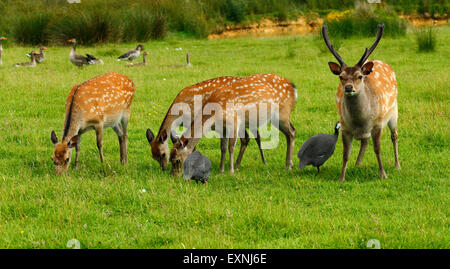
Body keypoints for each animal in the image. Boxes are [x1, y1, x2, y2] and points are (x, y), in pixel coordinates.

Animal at [168, 73, 296, 176]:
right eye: (170, 158)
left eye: (177, 160)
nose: (174, 175)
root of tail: (294, 88)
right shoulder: (222, 129)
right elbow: (223, 148)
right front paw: (221, 170)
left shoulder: (234, 122)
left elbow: (231, 147)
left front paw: (231, 171)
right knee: (290, 132)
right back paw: (288, 164)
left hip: (283, 113)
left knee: (292, 132)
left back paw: (288, 166)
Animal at [324, 24, 400, 181]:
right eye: (341, 76)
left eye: (359, 76)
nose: (348, 87)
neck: (360, 120)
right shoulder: (345, 127)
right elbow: (345, 154)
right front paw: (341, 178)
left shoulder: (377, 124)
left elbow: (377, 149)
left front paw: (383, 174)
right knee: (365, 140)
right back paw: (357, 164)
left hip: (394, 111)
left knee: (394, 135)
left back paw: (397, 165)